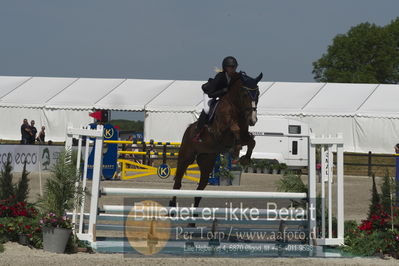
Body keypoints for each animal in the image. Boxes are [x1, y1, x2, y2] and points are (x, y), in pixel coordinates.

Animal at [169, 71, 262, 211]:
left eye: (258, 94)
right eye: (245, 94)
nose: (253, 120)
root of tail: (189, 129)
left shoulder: (244, 136)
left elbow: (252, 142)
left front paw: (245, 159)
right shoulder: (219, 133)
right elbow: (234, 129)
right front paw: (236, 151)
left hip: (207, 161)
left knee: (200, 189)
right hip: (186, 157)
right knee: (177, 183)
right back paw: (172, 206)